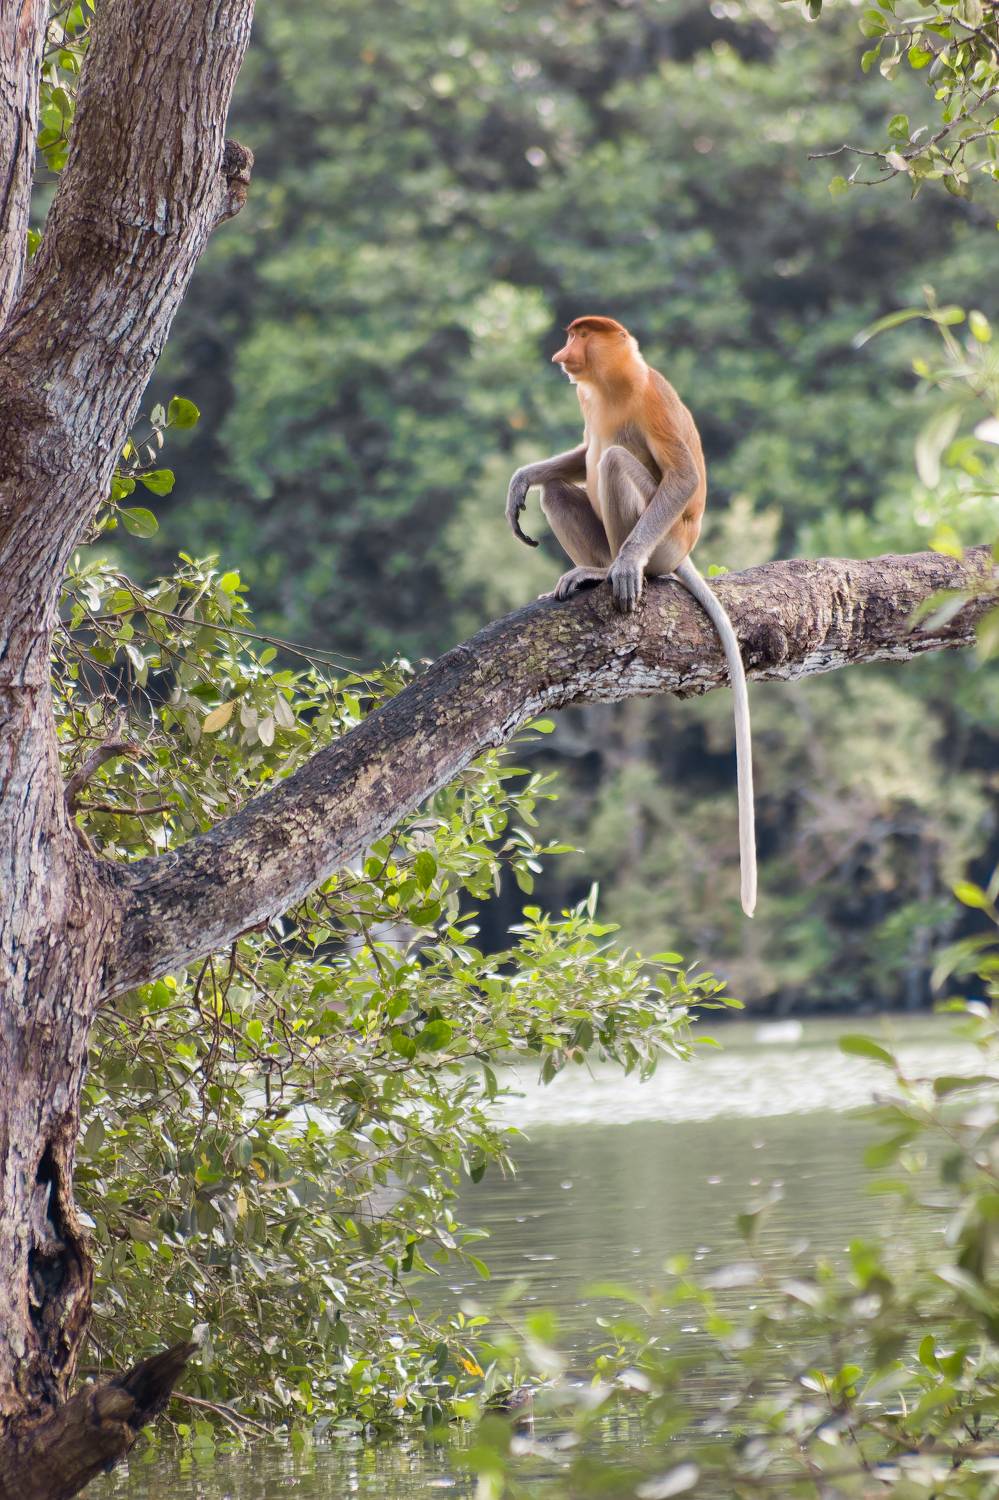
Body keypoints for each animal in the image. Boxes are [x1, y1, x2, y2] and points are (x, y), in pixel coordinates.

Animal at [505, 315, 756, 917]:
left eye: (579, 336)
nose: (561, 356)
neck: (606, 385)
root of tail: (682, 554)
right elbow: (576, 457)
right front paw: (522, 478)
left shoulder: (650, 395)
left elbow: (682, 474)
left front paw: (623, 568)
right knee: (559, 489)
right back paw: (587, 566)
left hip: (664, 541)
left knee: (617, 462)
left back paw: (611, 570)